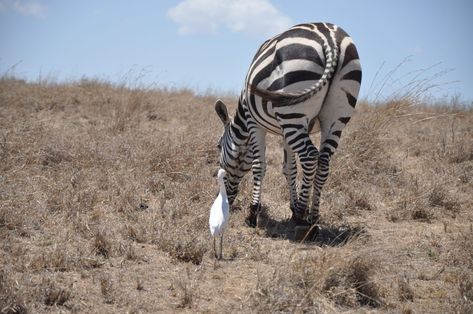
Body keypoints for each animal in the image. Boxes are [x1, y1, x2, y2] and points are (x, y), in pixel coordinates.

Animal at [214, 22, 362, 228]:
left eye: (218, 145)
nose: (227, 199)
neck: (242, 113)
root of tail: (331, 39)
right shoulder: (286, 130)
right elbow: (289, 168)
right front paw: (293, 207)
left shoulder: (255, 123)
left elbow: (259, 165)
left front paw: (253, 213)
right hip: (333, 117)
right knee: (323, 162)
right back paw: (313, 219)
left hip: (293, 107)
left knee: (310, 157)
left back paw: (302, 216)